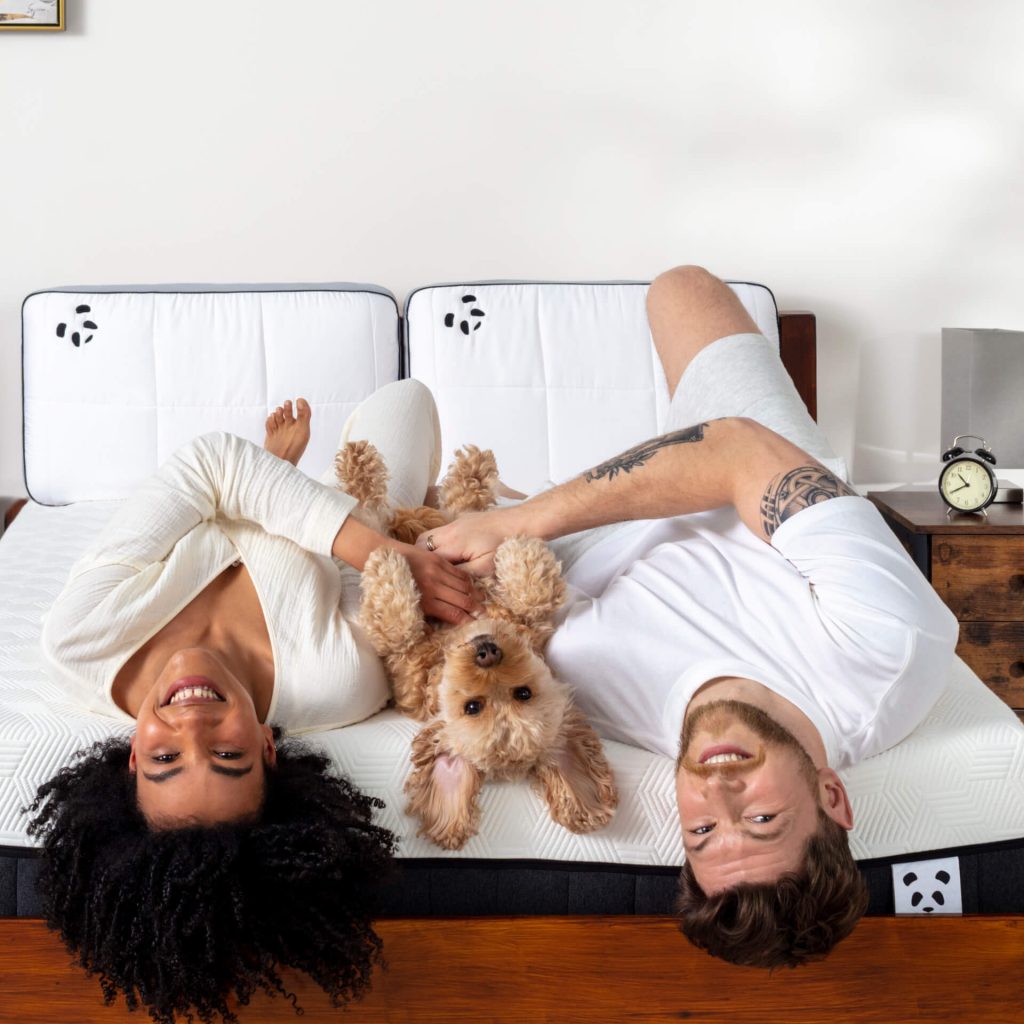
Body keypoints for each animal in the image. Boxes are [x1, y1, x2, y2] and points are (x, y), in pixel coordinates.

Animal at [335, 440, 614, 847]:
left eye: (521, 694)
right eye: (473, 706)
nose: (487, 652)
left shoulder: (399, 649)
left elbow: (398, 614)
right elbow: (527, 586)